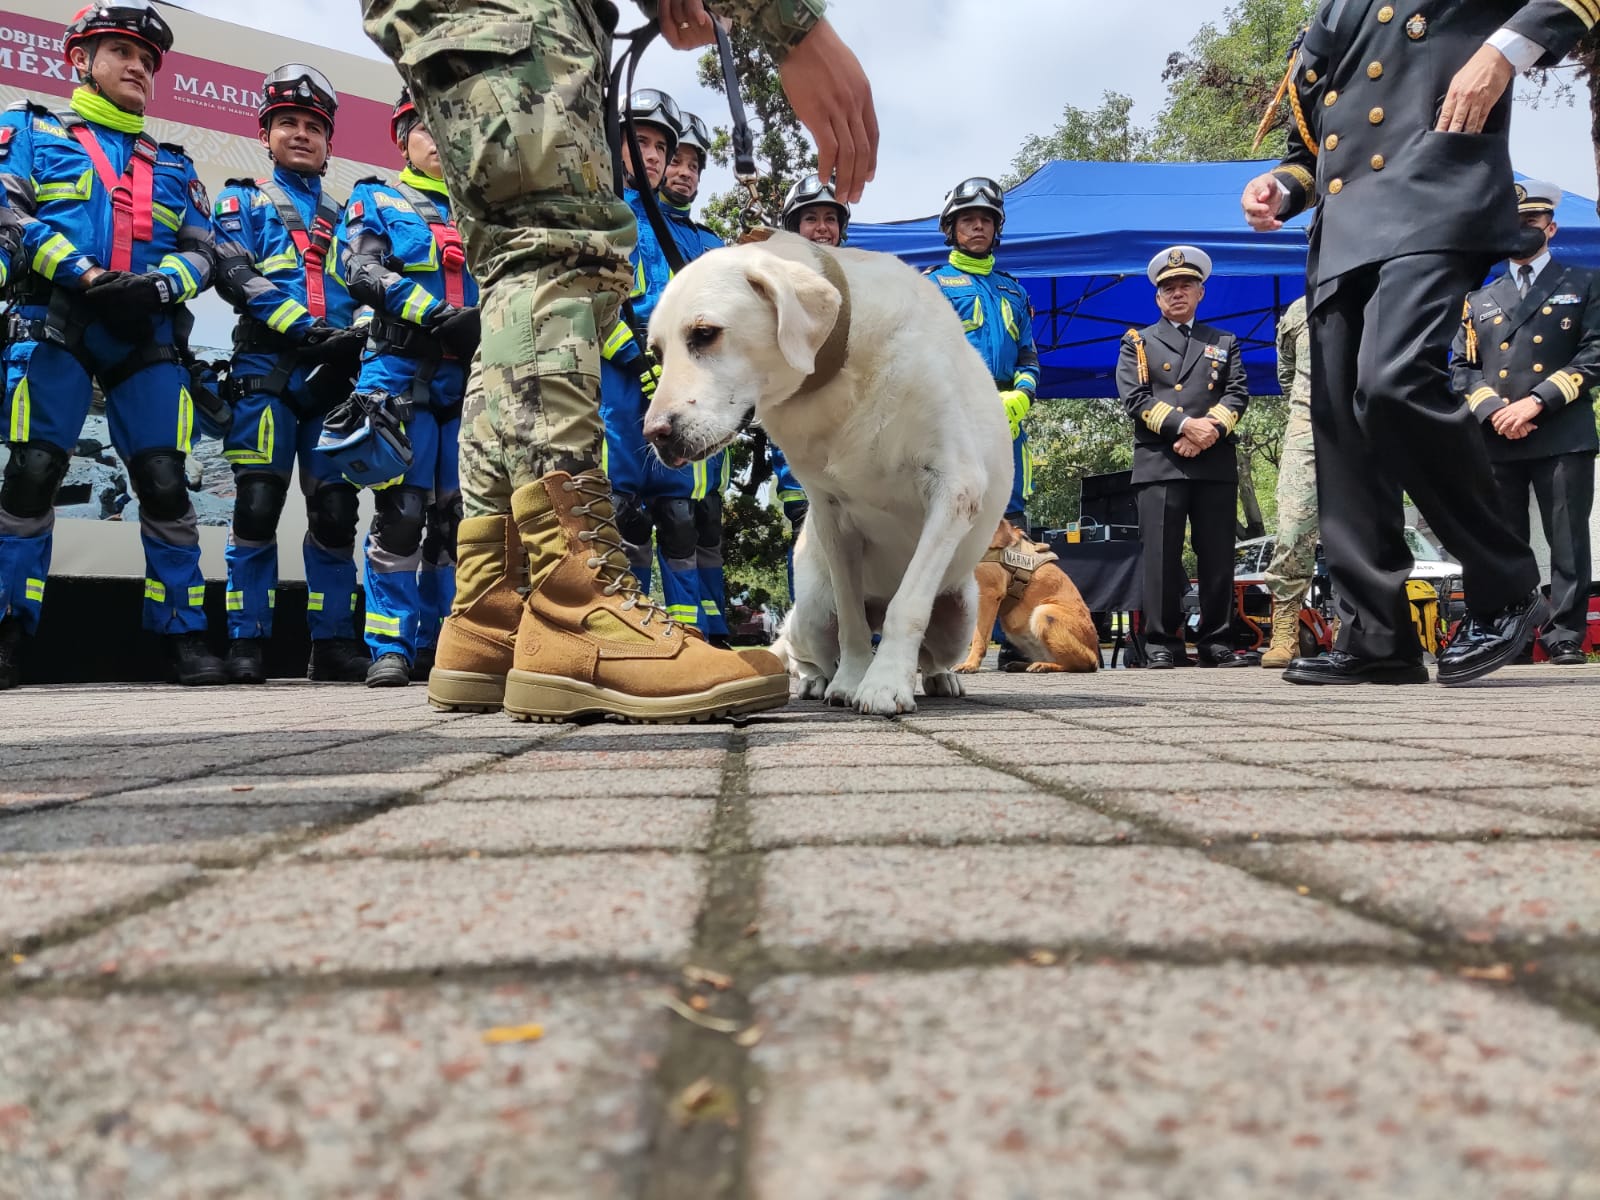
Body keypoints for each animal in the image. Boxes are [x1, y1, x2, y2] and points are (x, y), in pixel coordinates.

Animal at [640, 232, 1004, 713]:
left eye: (704, 334)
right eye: (657, 352)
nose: (655, 434)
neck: (842, 370)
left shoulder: (955, 489)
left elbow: (907, 605)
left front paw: (884, 681)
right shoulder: (832, 516)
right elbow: (850, 618)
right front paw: (852, 679)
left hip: (962, 617)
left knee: (930, 650)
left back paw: (939, 677)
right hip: (811, 610)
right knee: (803, 650)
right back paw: (817, 680)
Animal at [947, 524, 1100, 678]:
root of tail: (1095, 655)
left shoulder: (987, 595)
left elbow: (978, 637)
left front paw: (970, 664)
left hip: (1043, 613)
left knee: (1077, 665)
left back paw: (1043, 666)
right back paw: (1022, 664)